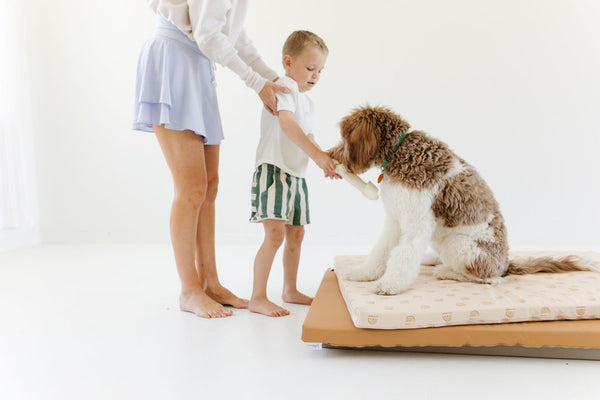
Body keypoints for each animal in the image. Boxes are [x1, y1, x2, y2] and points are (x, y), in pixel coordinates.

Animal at [330, 105, 596, 294]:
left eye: (345, 139)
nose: (331, 155)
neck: (400, 151)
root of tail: (505, 264)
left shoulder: (417, 223)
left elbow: (403, 255)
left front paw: (390, 285)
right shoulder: (395, 219)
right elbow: (381, 250)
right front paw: (365, 273)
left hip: (460, 245)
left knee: (491, 280)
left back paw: (447, 271)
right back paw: (433, 260)